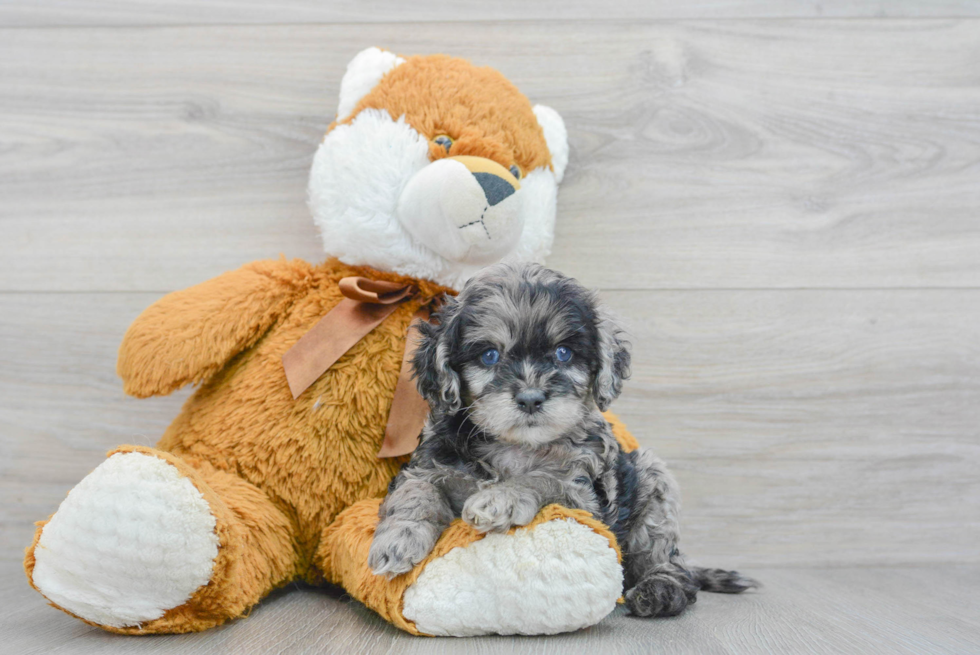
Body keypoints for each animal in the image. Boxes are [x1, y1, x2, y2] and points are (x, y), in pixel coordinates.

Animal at [368, 262, 756, 620]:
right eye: (489, 355)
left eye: (563, 353)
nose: (530, 398)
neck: (515, 447)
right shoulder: (427, 464)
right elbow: (415, 492)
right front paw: (398, 538)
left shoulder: (582, 494)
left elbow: (541, 479)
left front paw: (501, 499)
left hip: (652, 478)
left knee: (667, 561)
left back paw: (661, 589)